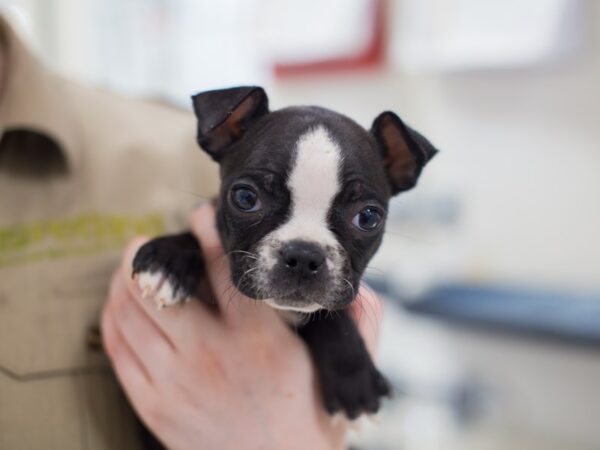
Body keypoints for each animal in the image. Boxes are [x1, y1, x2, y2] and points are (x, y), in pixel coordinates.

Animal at [134, 86, 438, 420]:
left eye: (368, 218)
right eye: (245, 198)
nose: (304, 256)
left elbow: (331, 313)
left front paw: (353, 374)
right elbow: (194, 235)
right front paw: (168, 261)